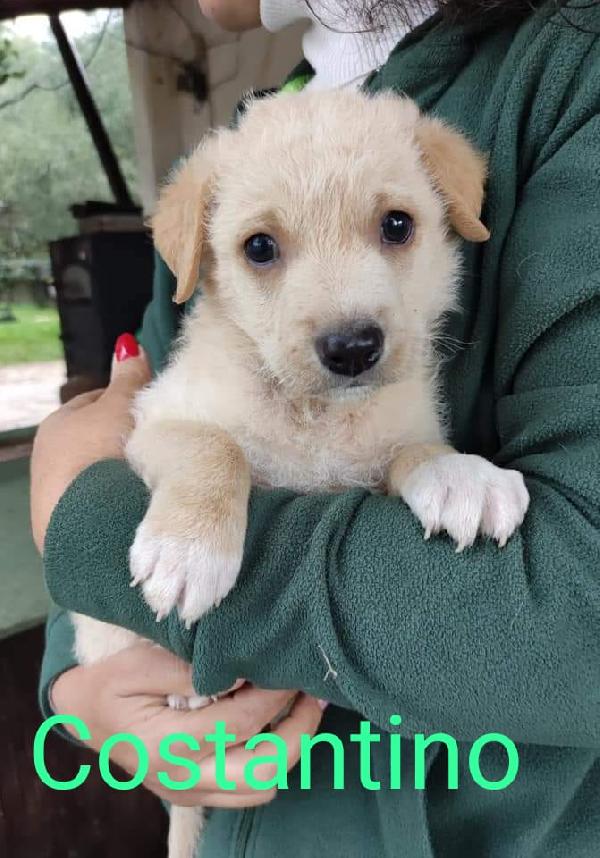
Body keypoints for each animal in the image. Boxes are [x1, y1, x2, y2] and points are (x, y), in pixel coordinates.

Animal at [72, 90, 528, 852]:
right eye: (260, 247)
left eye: (397, 225)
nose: (352, 348)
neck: (312, 417)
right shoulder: (157, 420)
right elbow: (215, 448)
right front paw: (189, 552)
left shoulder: (384, 443)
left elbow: (416, 449)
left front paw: (464, 477)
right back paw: (190, 686)